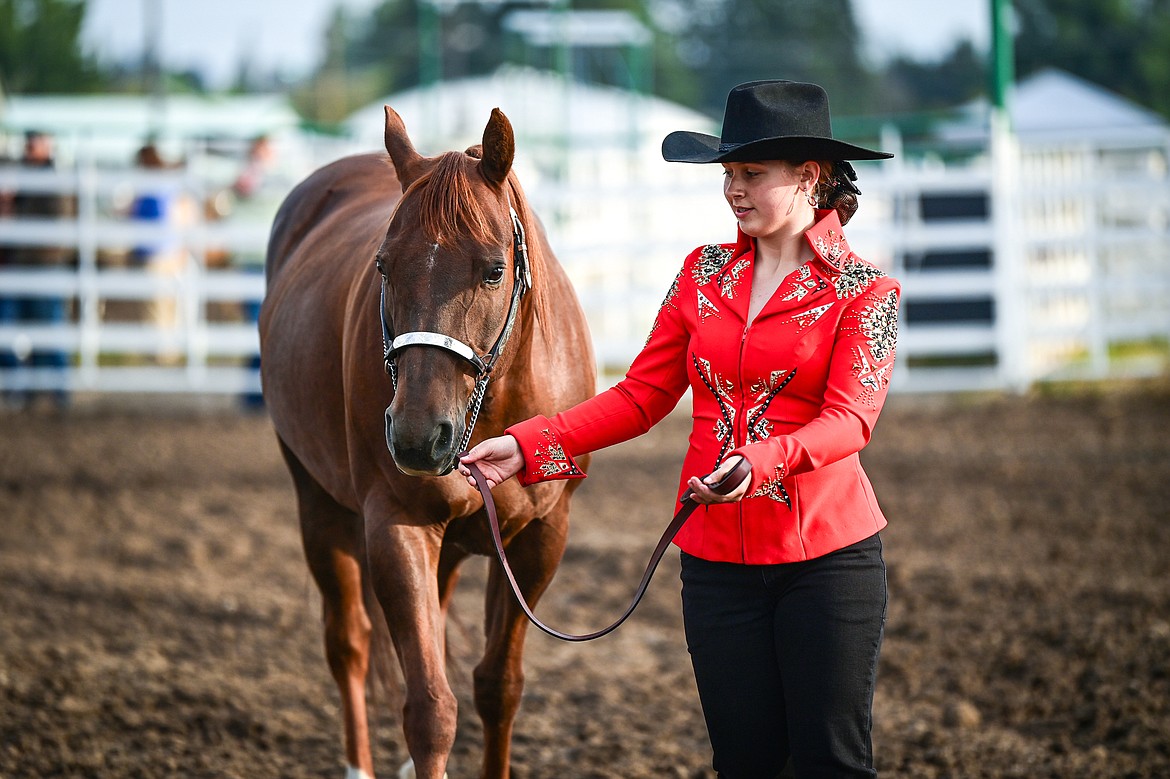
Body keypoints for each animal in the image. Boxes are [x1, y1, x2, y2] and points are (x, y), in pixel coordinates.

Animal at [262, 104, 599, 776]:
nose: (418, 437)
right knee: (348, 641)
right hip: (317, 501)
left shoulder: (541, 538)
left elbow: (499, 687)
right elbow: (430, 709)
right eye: (383, 266)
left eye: (494, 269)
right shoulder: (398, 526)